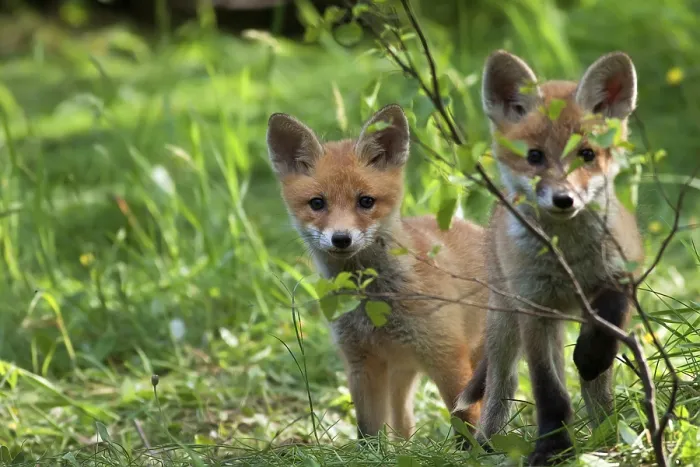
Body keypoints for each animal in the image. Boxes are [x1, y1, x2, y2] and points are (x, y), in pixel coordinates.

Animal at [266, 104, 489, 443]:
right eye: (317, 203)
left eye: (366, 201)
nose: (341, 238)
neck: (373, 304)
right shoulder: (361, 364)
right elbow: (368, 433)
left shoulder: (447, 356)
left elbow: (467, 424)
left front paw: (479, 452)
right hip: (401, 373)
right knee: (403, 423)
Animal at [456, 51, 645, 465]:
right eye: (535, 157)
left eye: (587, 154)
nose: (564, 199)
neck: (567, 258)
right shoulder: (534, 306)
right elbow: (549, 390)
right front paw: (552, 448)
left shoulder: (621, 274)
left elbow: (606, 328)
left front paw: (590, 356)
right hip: (505, 323)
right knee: (501, 385)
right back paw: (486, 443)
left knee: (596, 391)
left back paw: (608, 436)